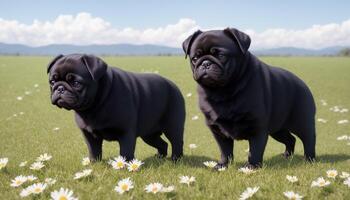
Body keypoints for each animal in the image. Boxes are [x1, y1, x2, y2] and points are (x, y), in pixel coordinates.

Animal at [48, 54, 187, 162]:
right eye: (52, 82)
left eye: (76, 83)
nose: (60, 88)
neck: (94, 106)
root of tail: (174, 86)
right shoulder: (89, 134)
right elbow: (94, 150)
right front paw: (94, 163)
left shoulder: (125, 132)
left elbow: (125, 151)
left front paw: (126, 166)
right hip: (149, 134)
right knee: (162, 144)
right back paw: (159, 157)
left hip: (172, 126)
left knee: (176, 142)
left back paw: (176, 159)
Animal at [183, 28, 318, 169]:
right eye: (195, 58)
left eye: (221, 56)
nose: (205, 63)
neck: (223, 91)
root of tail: (303, 84)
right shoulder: (218, 130)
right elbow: (225, 150)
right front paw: (223, 165)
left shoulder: (257, 127)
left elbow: (255, 150)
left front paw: (251, 167)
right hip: (278, 129)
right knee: (290, 139)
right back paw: (287, 155)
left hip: (301, 122)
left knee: (309, 139)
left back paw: (309, 159)